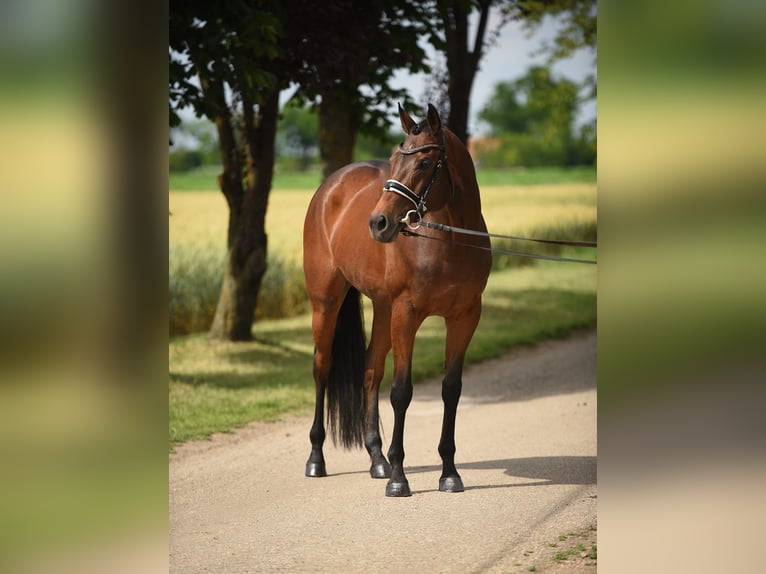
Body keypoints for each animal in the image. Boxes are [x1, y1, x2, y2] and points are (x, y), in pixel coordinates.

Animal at [302, 104, 492, 500]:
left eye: (424, 163)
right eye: (393, 160)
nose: (378, 222)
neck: (449, 241)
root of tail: (330, 186)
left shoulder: (465, 316)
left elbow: (451, 389)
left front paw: (449, 473)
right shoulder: (407, 314)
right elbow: (402, 391)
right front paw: (399, 479)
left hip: (383, 308)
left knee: (370, 370)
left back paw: (377, 459)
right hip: (326, 303)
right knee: (322, 368)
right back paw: (316, 459)